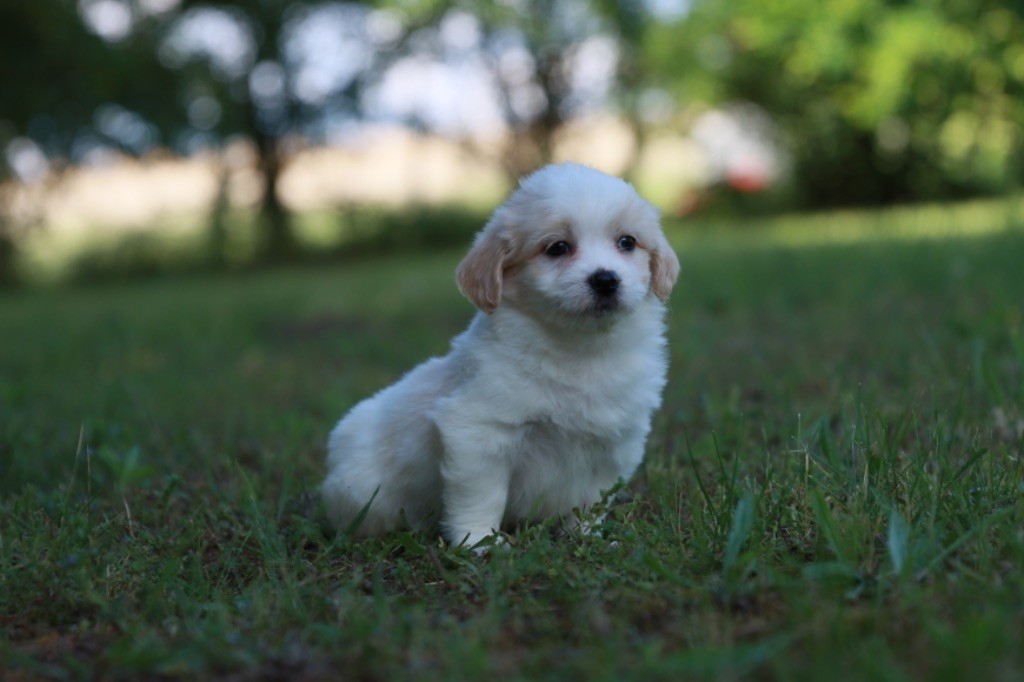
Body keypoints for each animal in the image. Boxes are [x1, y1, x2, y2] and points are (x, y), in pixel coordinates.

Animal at [321, 163, 679, 548]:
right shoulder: (478, 433)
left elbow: (591, 498)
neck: (580, 349)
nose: (606, 279)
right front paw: (479, 543)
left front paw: (589, 536)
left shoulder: (614, 443)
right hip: (362, 493)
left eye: (627, 242)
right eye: (558, 247)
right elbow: (481, 497)